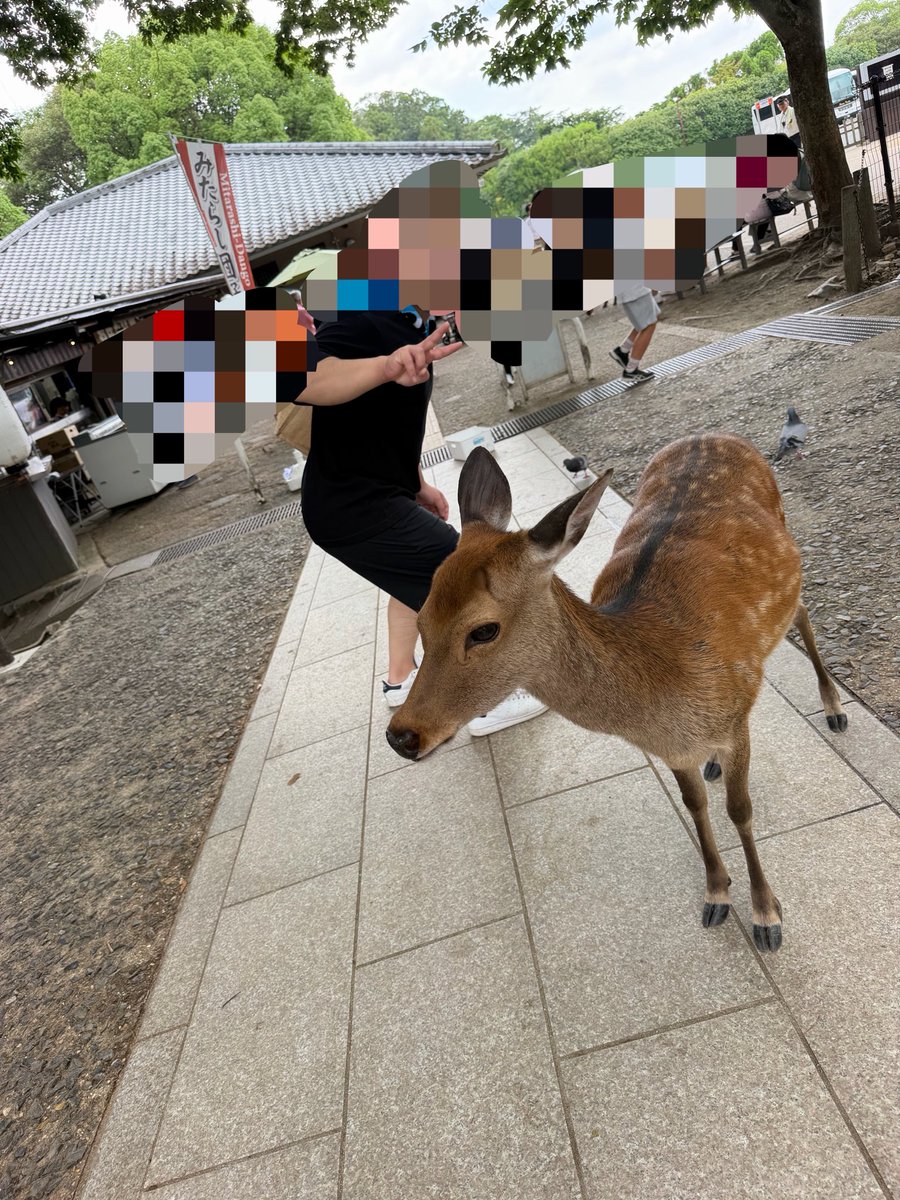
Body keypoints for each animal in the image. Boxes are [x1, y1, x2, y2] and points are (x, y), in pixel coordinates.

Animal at [386, 433, 848, 953]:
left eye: (483, 630)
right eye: (421, 621)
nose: (401, 736)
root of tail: (710, 436)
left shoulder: (735, 713)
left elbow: (740, 810)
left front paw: (767, 916)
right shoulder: (670, 749)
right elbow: (695, 804)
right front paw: (716, 894)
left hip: (788, 553)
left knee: (803, 611)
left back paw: (833, 708)